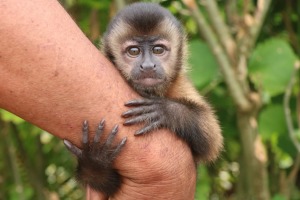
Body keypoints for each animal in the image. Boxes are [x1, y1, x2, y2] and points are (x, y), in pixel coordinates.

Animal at [63, 1, 223, 197]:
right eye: (134, 51)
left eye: (158, 50)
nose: (147, 66)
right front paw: (95, 162)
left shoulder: (179, 84)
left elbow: (212, 139)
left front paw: (164, 110)